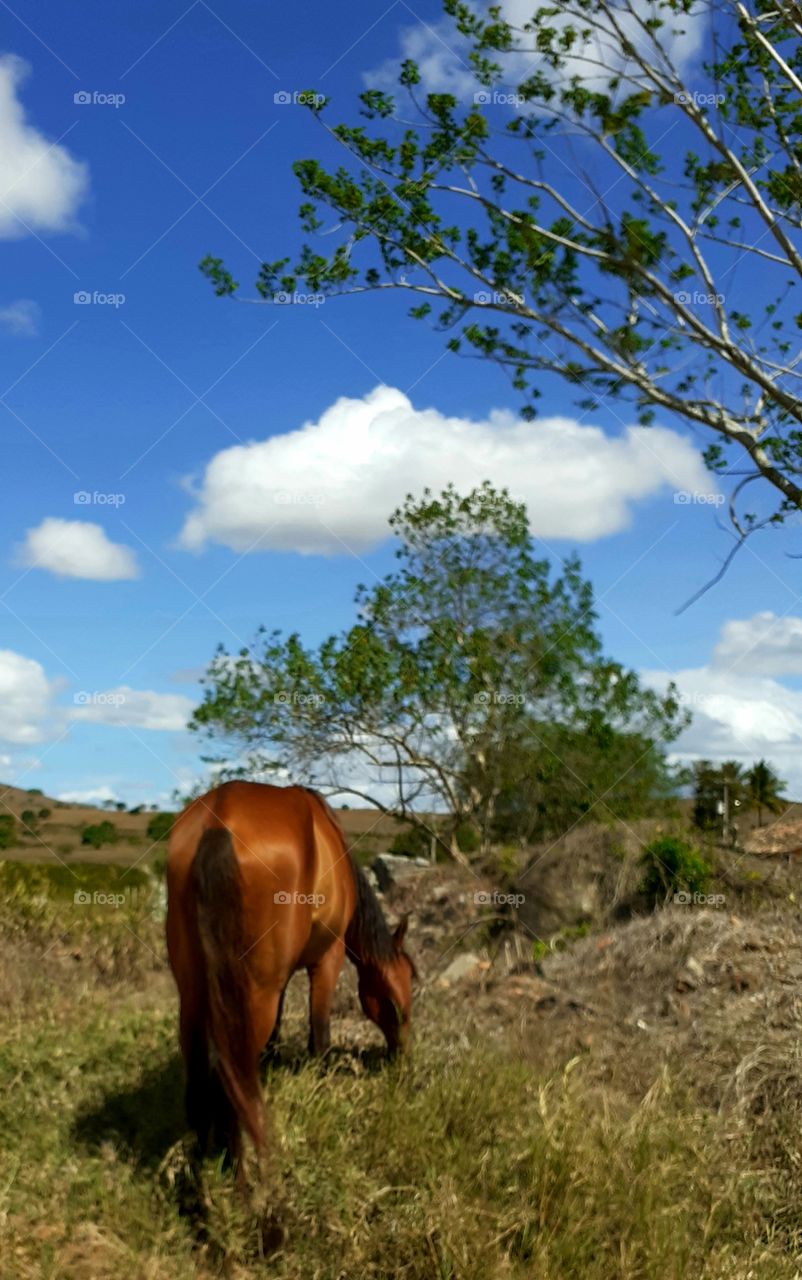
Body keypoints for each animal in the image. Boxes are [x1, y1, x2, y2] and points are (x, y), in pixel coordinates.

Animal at [165, 780, 415, 1168]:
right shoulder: (328, 959)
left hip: (196, 995)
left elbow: (276, 1036)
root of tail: (218, 821)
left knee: (200, 1082)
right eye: (393, 1002)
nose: (401, 1056)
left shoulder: (279, 982)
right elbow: (320, 1035)